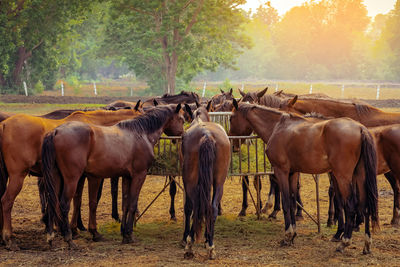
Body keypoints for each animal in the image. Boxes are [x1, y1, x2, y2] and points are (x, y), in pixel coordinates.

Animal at [0, 101, 142, 250]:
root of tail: (4, 125)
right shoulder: (90, 176)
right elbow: (90, 201)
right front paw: (87, 230)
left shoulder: (78, 177)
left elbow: (76, 200)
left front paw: (73, 228)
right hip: (17, 176)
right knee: (7, 201)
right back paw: (9, 239)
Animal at [40, 103, 184, 248]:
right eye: (182, 119)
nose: (182, 136)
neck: (140, 134)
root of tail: (56, 132)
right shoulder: (139, 175)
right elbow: (132, 204)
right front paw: (130, 235)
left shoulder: (127, 177)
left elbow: (125, 204)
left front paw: (124, 234)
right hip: (72, 180)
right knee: (64, 205)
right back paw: (69, 239)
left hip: (56, 177)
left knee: (52, 202)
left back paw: (51, 236)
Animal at [180, 104, 230, 260]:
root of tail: (207, 135)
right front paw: (207, 239)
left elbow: (188, 208)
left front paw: (185, 238)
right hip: (220, 182)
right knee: (212, 208)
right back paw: (210, 246)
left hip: (189, 180)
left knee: (194, 206)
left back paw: (189, 245)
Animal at [228, 99, 378, 254]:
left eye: (231, 118)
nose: (233, 146)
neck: (278, 127)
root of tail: (360, 128)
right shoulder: (293, 173)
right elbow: (293, 202)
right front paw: (293, 235)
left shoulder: (281, 171)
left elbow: (286, 202)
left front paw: (287, 236)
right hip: (359, 175)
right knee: (366, 205)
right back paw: (367, 245)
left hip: (342, 176)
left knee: (350, 205)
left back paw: (344, 242)